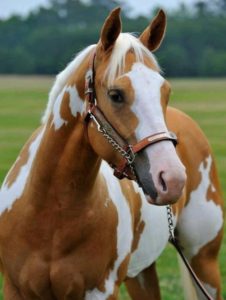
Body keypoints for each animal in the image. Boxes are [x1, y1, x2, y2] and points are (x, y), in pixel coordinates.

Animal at [0, 7, 223, 300]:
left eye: (165, 92)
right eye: (116, 94)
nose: (172, 180)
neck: (49, 215)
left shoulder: (101, 291)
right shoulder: (15, 289)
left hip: (203, 262)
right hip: (142, 273)